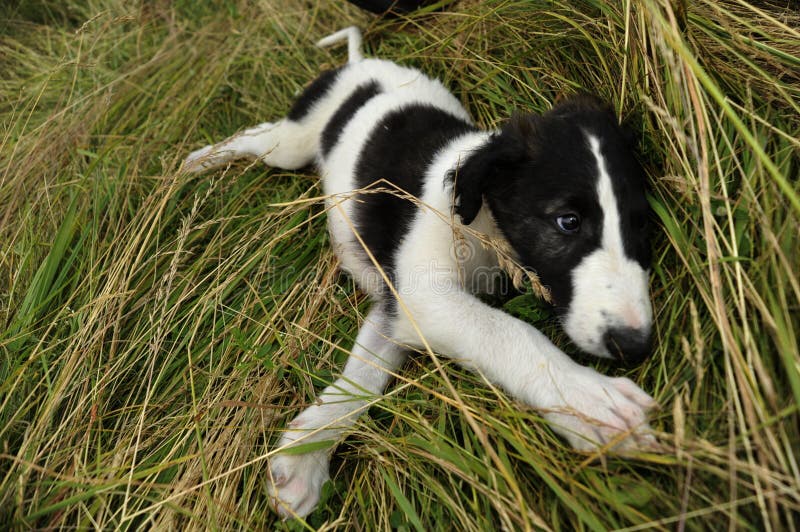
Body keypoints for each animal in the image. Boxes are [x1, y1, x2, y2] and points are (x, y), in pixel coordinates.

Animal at [186, 27, 656, 516]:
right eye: (568, 221)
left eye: (642, 225)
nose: (635, 345)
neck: (479, 220)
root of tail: (359, 62)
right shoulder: (425, 295)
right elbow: (508, 333)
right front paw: (589, 401)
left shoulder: (396, 309)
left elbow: (362, 379)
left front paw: (304, 455)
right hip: (293, 145)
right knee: (258, 136)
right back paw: (200, 159)